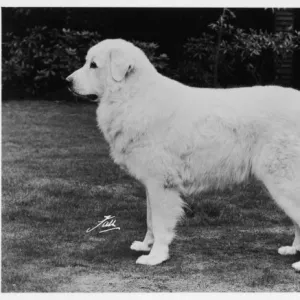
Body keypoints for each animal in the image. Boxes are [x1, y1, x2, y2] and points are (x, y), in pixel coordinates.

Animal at [67, 38, 300, 270]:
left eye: (93, 65)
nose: (67, 81)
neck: (132, 97)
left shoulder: (161, 184)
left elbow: (160, 224)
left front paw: (155, 257)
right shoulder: (151, 184)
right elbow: (150, 220)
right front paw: (145, 246)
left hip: (283, 182)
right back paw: (293, 250)